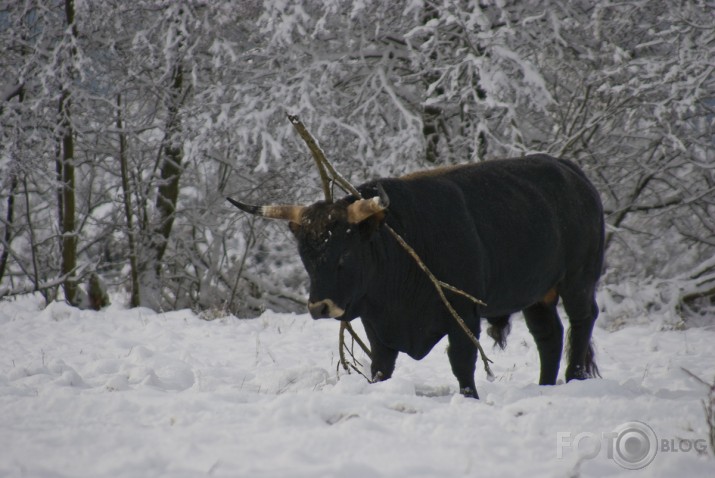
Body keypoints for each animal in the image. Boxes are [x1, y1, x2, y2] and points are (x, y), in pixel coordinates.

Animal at [228, 155, 604, 398]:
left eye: (344, 255)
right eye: (305, 257)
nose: (320, 307)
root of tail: (572, 172)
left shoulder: (462, 314)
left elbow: (462, 363)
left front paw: (469, 398)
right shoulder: (377, 324)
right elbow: (380, 366)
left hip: (578, 281)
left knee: (582, 322)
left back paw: (574, 378)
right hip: (538, 295)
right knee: (548, 335)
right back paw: (545, 385)